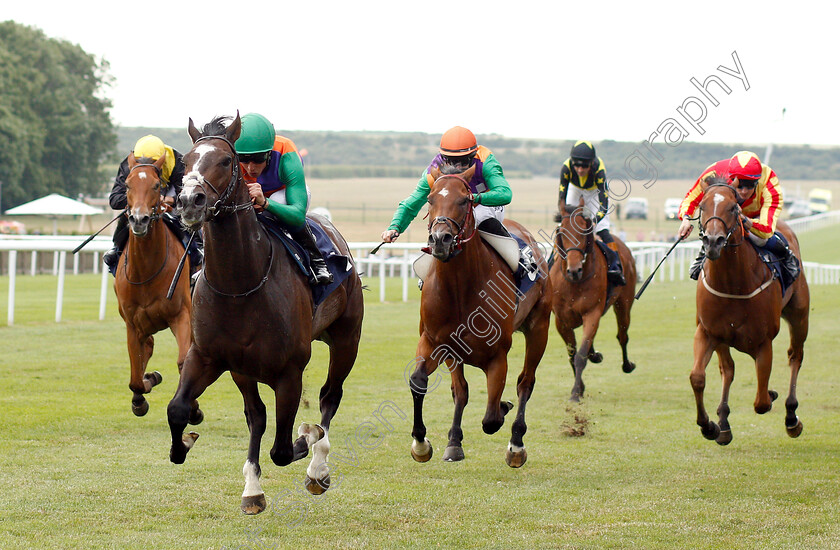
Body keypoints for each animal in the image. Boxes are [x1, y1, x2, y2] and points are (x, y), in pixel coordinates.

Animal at [113, 153, 195, 420]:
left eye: (157, 186)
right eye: (128, 185)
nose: (139, 220)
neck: (147, 270)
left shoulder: (181, 315)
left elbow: (183, 362)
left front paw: (193, 409)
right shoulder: (132, 323)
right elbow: (135, 375)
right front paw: (143, 392)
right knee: (146, 349)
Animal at [169, 114, 362, 516]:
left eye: (226, 161)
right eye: (186, 161)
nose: (190, 201)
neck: (240, 284)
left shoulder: (290, 371)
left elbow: (284, 449)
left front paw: (309, 439)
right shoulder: (213, 358)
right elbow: (180, 409)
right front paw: (187, 446)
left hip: (346, 339)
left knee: (329, 396)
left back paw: (318, 464)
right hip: (246, 369)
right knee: (259, 416)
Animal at [408, 165, 556, 470]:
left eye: (464, 200)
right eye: (429, 199)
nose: (440, 240)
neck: (460, 289)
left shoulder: (497, 355)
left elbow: (491, 418)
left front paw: (505, 412)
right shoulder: (435, 342)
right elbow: (421, 381)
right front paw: (422, 444)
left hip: (539, 327)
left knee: (525, 382)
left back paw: (516, 444)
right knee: (461, 390)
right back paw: (454, 441)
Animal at [552, 198, 636, 402]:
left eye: (584, 231)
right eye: (561, 232)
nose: (574, 270)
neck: (574, 283)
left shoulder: (592, 313)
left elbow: (580, 355)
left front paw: (575, 392)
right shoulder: (561, 320)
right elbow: (572, 353)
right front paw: (579, 388)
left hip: (624, 304)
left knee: (622, 335)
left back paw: (627, 365)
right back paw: (595, 354)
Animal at [688, 179, 808, 446]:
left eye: (734, 208)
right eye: (702, 206)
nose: (713, 241)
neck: (733, 283)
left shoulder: (763, 343)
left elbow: (761, 402)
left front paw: (772, 394)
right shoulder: (708, 332)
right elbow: (698, 377)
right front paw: (709, 426)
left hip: (799, 315)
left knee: (795, 356)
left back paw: (791, 417)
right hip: (722, 339)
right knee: (728, 369)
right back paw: (723, 422)